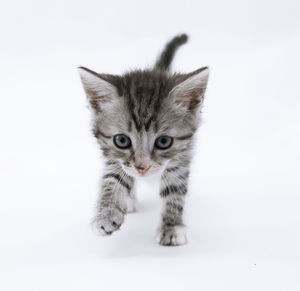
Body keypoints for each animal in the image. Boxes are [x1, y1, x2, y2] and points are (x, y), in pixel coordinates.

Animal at [77, 33, 209, 246]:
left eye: (164, 142)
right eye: (122, 141)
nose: (142, 168)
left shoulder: (182, 157)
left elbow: (174, 190)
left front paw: (172, 227)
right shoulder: (113, 157)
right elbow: (112, 179)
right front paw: (106, 214)